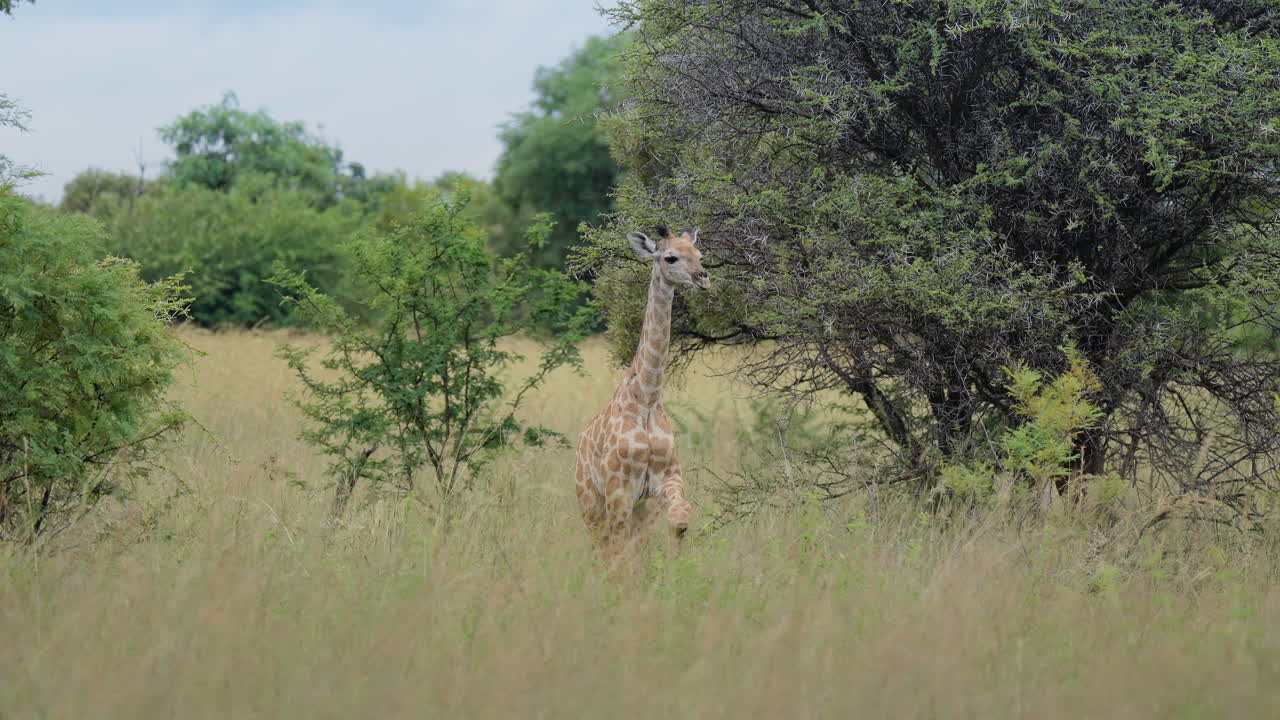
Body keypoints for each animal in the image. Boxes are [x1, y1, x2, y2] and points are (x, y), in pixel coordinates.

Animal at [575, 226, 710, 553]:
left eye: (699, 254)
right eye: (670, 257)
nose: (703, 278)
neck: (647, 398)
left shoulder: (666, 479)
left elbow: (680, 520)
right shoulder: (619, 489)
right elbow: (620, 549)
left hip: (637, 506)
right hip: (590, 501)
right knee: (605, 545)